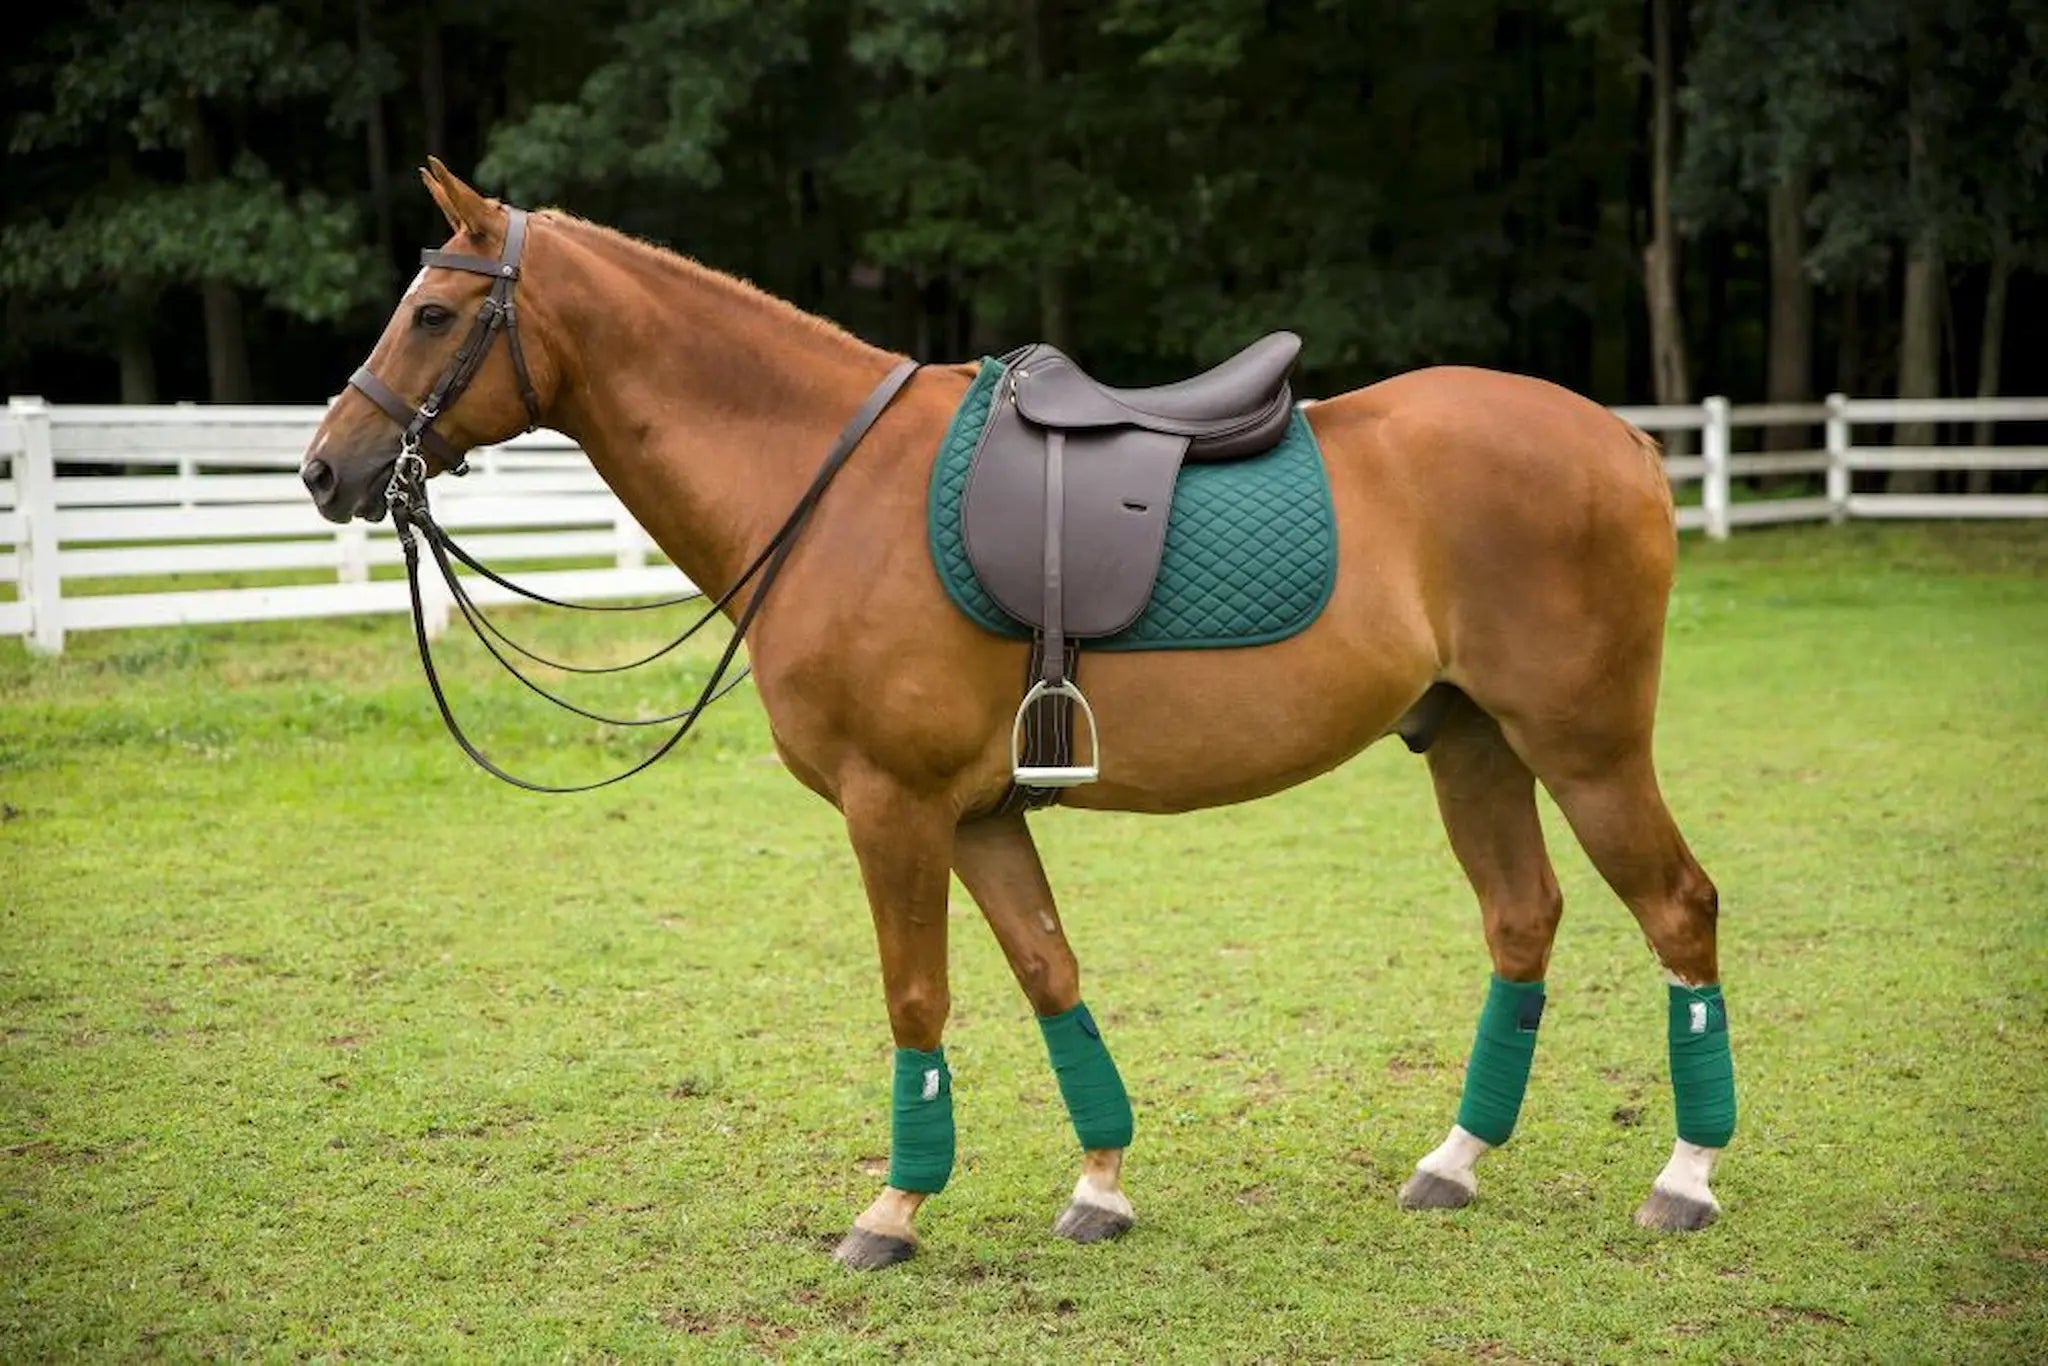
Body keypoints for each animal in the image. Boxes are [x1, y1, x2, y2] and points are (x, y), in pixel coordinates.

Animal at [300, 159, 1735, 1269]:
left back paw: (1684, 1176)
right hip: (1471, 741)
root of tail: (1626, 441)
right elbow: (1050, 971)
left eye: (432, 312)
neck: (829, 487)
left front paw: (893, 1208)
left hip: (1585, 745)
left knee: (1678, 910)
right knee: (1521, 919)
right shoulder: (982, 811)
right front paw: (1099, 1185)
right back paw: (1456, 1157)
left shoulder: (893, 807)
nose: (324, 468)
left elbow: (915, 998)